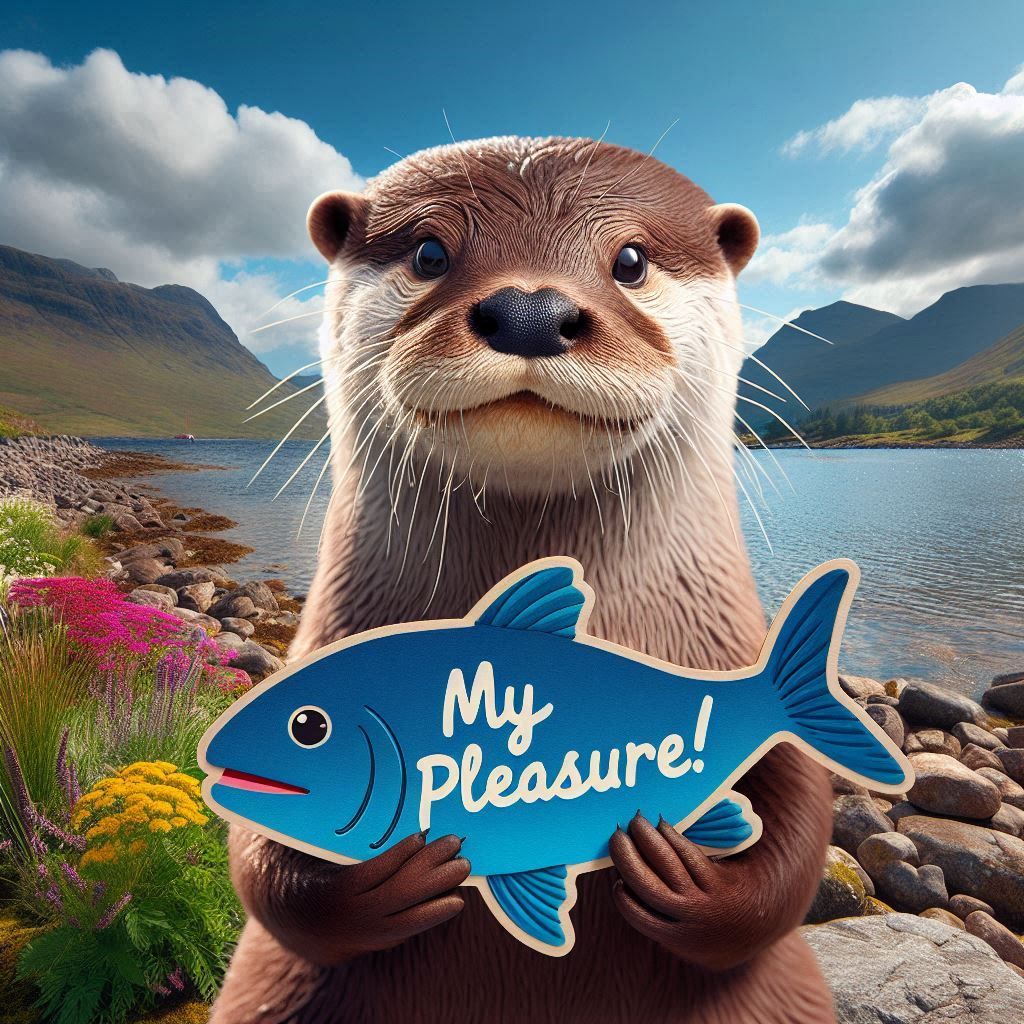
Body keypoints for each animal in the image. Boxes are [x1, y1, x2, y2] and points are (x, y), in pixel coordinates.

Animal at [211, 136, 834, 1023]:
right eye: (430, 252)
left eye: (631, 259)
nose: (532, 313)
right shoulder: (320, 641)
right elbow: (262, 865)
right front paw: (384, 883)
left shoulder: (727, 640)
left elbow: (803, 819)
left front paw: (687, 886)